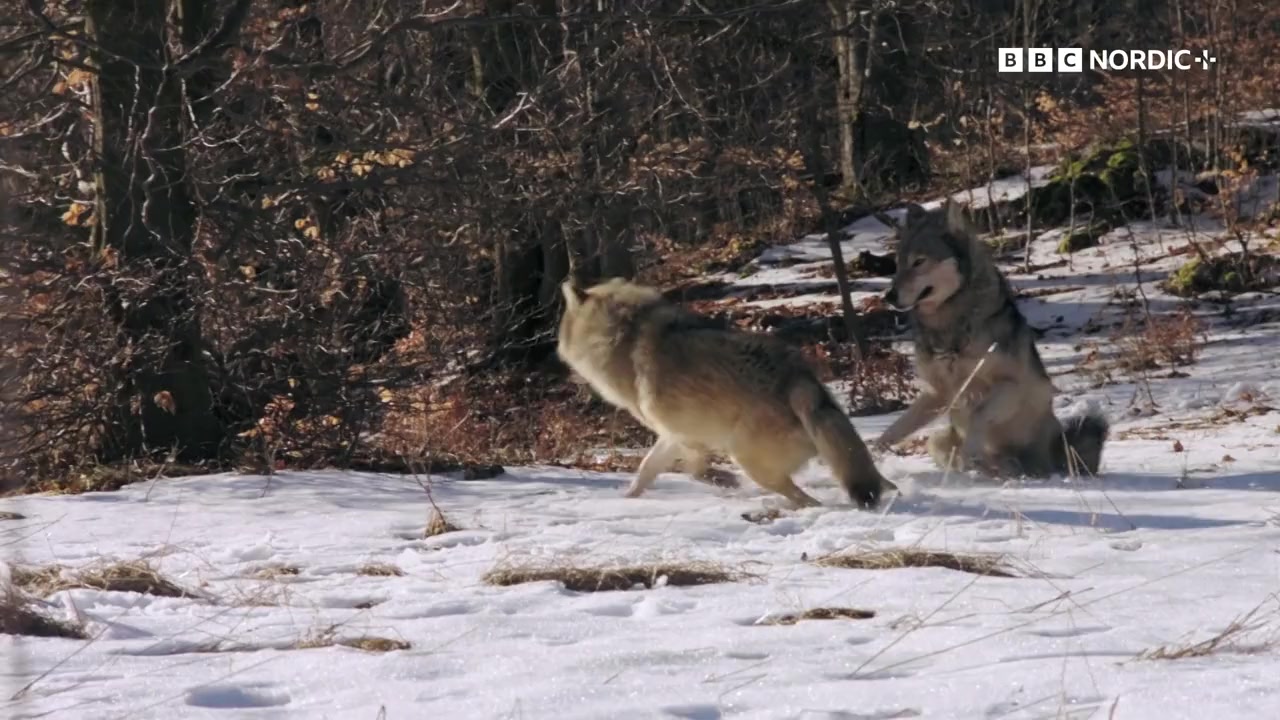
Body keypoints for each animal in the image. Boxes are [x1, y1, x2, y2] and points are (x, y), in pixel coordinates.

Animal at [556, 277, 896, 509]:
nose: (564, 373)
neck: (623, 335)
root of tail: (796, 379)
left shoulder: (683, 434)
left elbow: (694, 471)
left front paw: (724, 481)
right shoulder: (671, 435)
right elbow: (646, 470)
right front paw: (627, 499)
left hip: (747, 458)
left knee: (806, 499)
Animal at [875, 200, 1109, 478]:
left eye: (919, 262)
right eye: (898, 264)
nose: (888, 296)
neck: (950, 324)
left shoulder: (1012, 386)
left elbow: (978, 414)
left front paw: (970, 450)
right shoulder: (938, 393)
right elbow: (894, 429)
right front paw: (869, 454)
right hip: (936, 440)